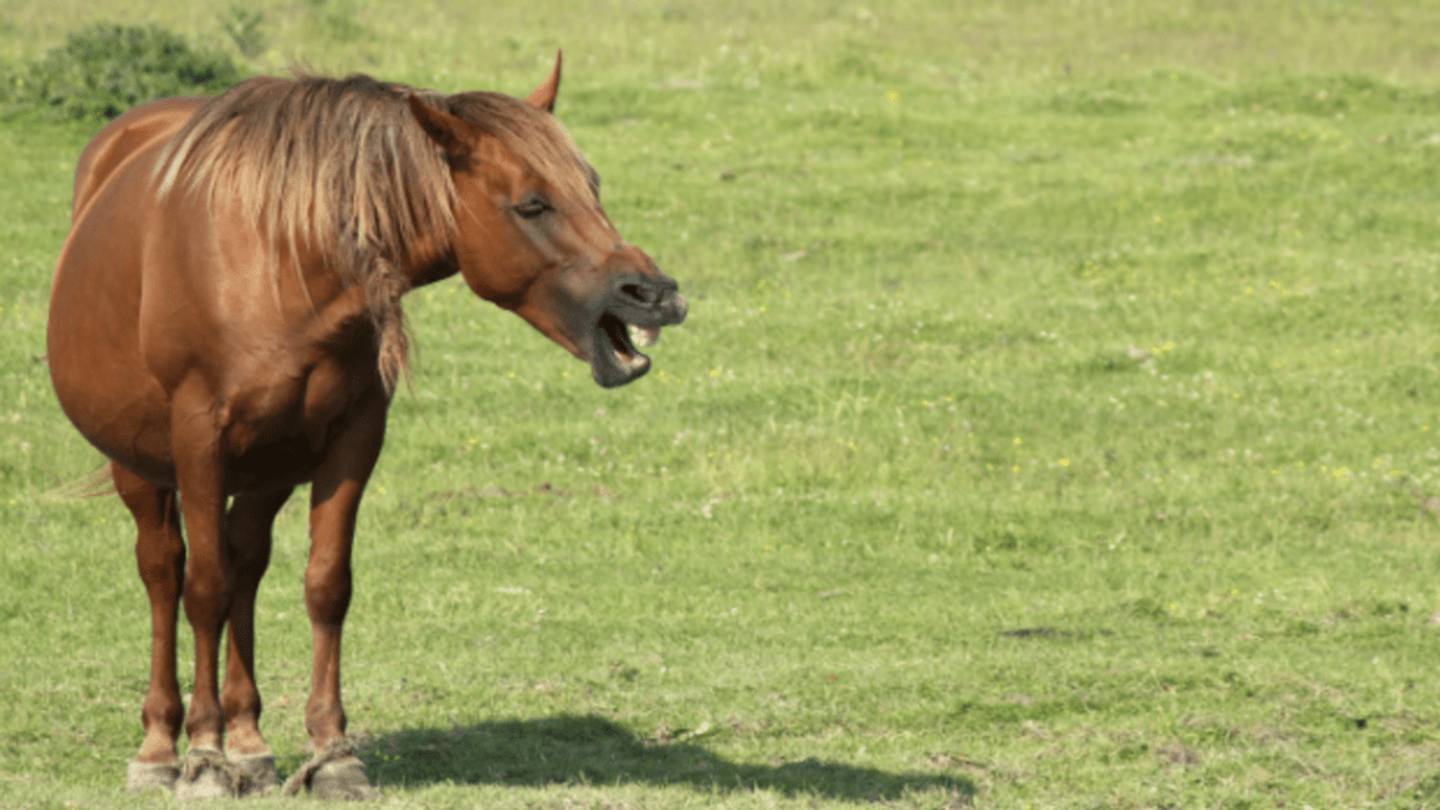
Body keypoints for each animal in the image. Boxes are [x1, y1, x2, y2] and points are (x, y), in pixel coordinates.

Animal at [46, 53, 687, 799]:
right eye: (532, 203)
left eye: (593, 187)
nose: (655, 294)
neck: (282, 258)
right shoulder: (198, 441)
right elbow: (202, 590)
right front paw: (203, 758)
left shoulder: (352, 443)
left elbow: (326, 586)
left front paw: (331, 755)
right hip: (143, 468)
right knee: (164, 573)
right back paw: (162, 748)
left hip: (267, 469)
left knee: (245, 565)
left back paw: (249, 741)